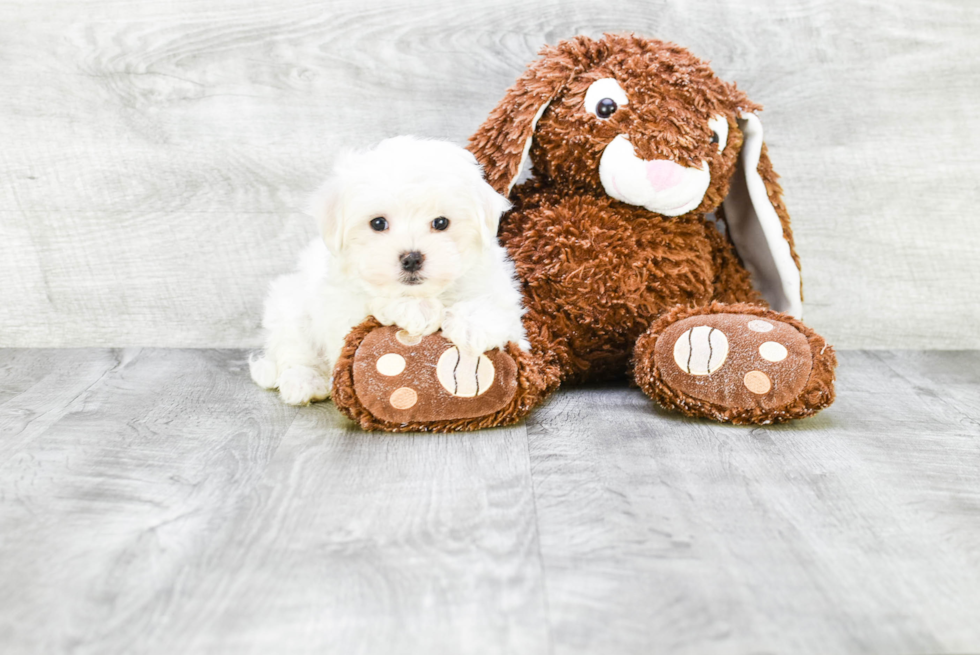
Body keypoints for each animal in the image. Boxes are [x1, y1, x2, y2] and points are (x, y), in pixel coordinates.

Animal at [251, 136, 528, 408]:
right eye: (378, 223)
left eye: (441, 222)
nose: (412, 259)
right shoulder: (343, 310)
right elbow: (377, 302)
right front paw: (417, 310)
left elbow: (494, 307)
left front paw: (475, 323)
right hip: (289, 308)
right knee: (294, 350)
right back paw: (304, 382)